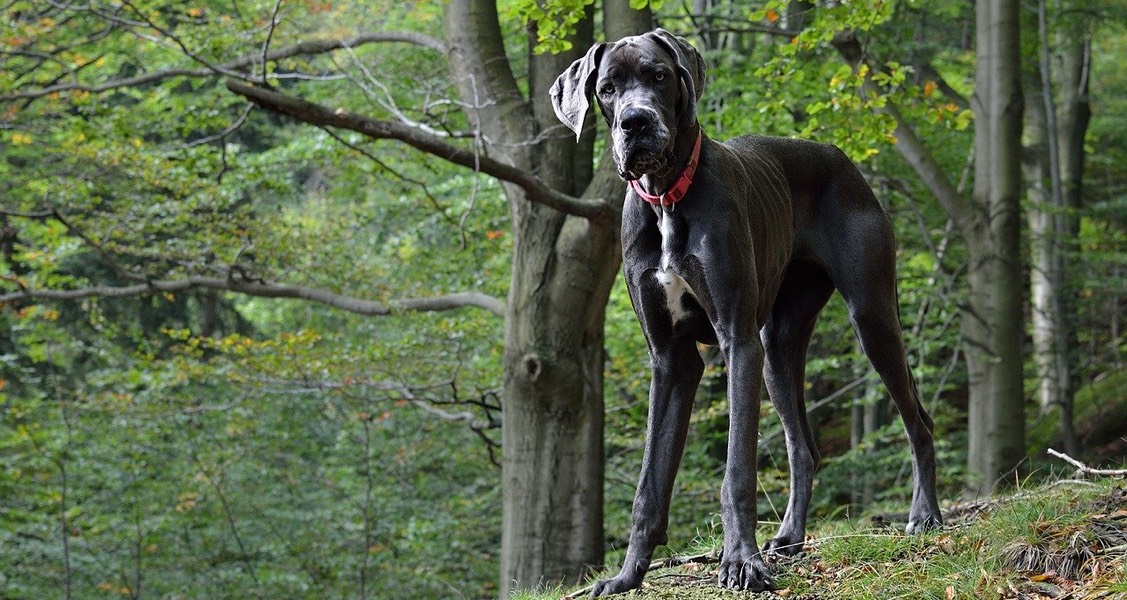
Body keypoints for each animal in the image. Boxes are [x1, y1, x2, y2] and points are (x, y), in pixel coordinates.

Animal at [549, 29, 946, 595]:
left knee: (919, 421)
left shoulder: (736, 341)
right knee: (804, 447)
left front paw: (740, 561)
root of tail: (839, 156)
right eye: (606, 88)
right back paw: (792, 537)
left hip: (870, 317)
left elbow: (737, 470)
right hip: (777, 349)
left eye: (658, 76)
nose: (636, 123)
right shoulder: (671, 360)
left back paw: (924, 515)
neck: (667, 199)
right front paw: (626, 575)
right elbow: (650, 483)